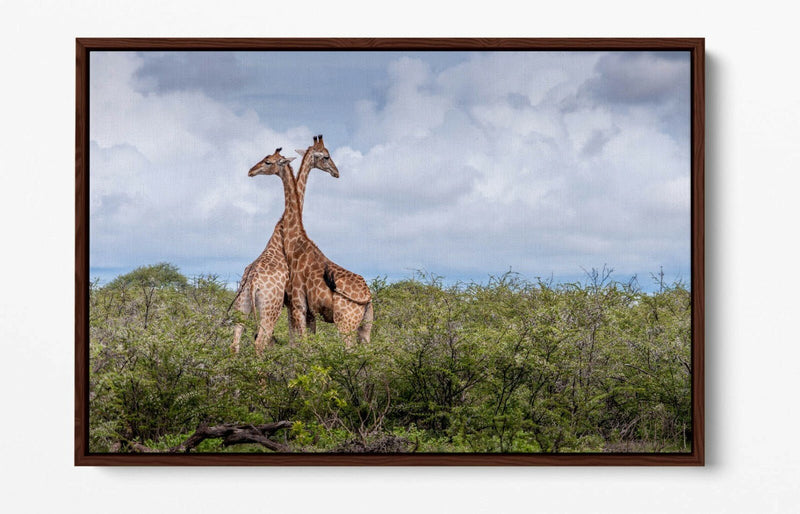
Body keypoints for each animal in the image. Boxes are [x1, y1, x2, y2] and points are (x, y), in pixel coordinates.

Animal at [278, 135, 374, 347]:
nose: (336, 172)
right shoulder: (299, 308)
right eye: (326, 156)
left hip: (346, 324)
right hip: (364, 326)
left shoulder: (299, 306)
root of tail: (368, 295)